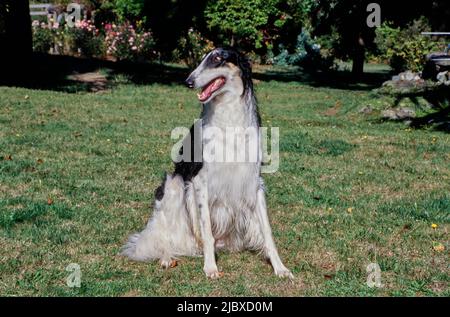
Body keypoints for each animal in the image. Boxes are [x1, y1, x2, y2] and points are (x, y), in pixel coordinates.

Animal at [121, 45, 294, 278]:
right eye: (203, 59)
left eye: (218, 59)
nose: (188, 81)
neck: (229, 117)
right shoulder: (200, 181)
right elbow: (207, 231)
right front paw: (211, 267)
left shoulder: (254, 182)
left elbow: (267, 232)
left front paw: (280, 267)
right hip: (174, 185)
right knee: (163, 238)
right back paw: (167, 258)